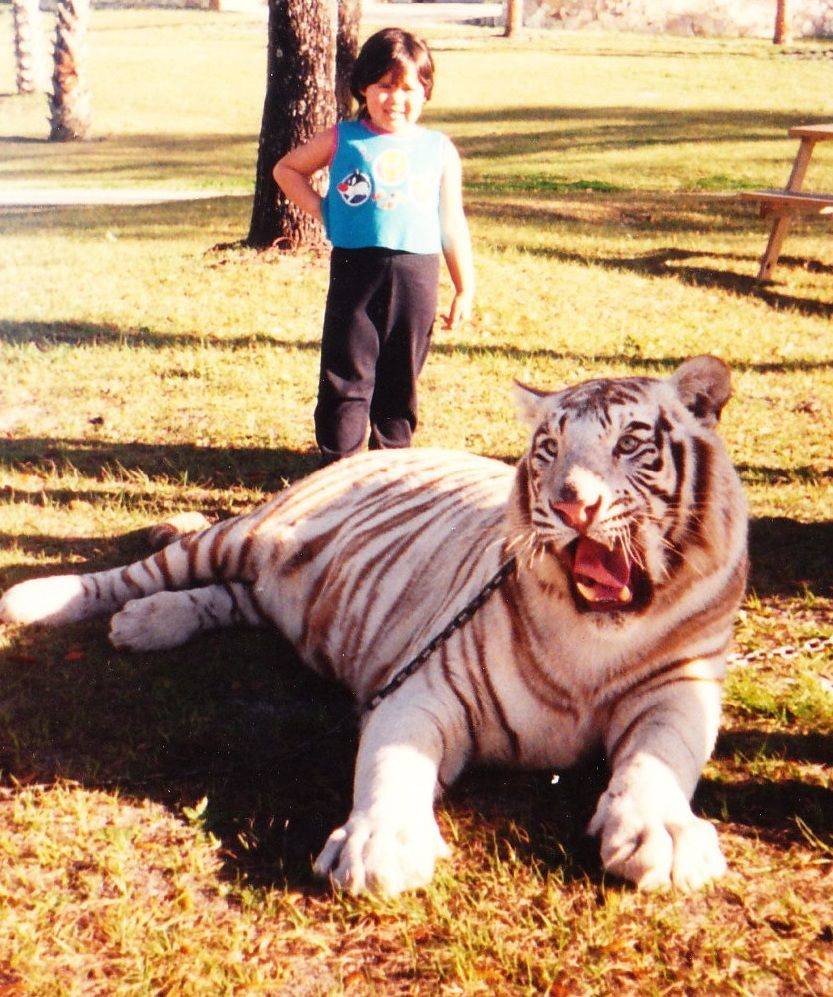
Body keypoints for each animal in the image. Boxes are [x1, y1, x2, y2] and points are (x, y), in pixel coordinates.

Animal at [0, 358, 748, 896]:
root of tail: (365, 452)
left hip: (271, 589)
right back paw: (43, 599)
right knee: (143, 570)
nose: (571, 506)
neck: (590, 636)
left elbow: (659, 756)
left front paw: (662, 835)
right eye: (548, 449)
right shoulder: (426, 686)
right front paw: (380, 845)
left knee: (224, 597)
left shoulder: (680, 688)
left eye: (630, 443)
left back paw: (149, 622)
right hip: (242, 535)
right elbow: (395, 760)